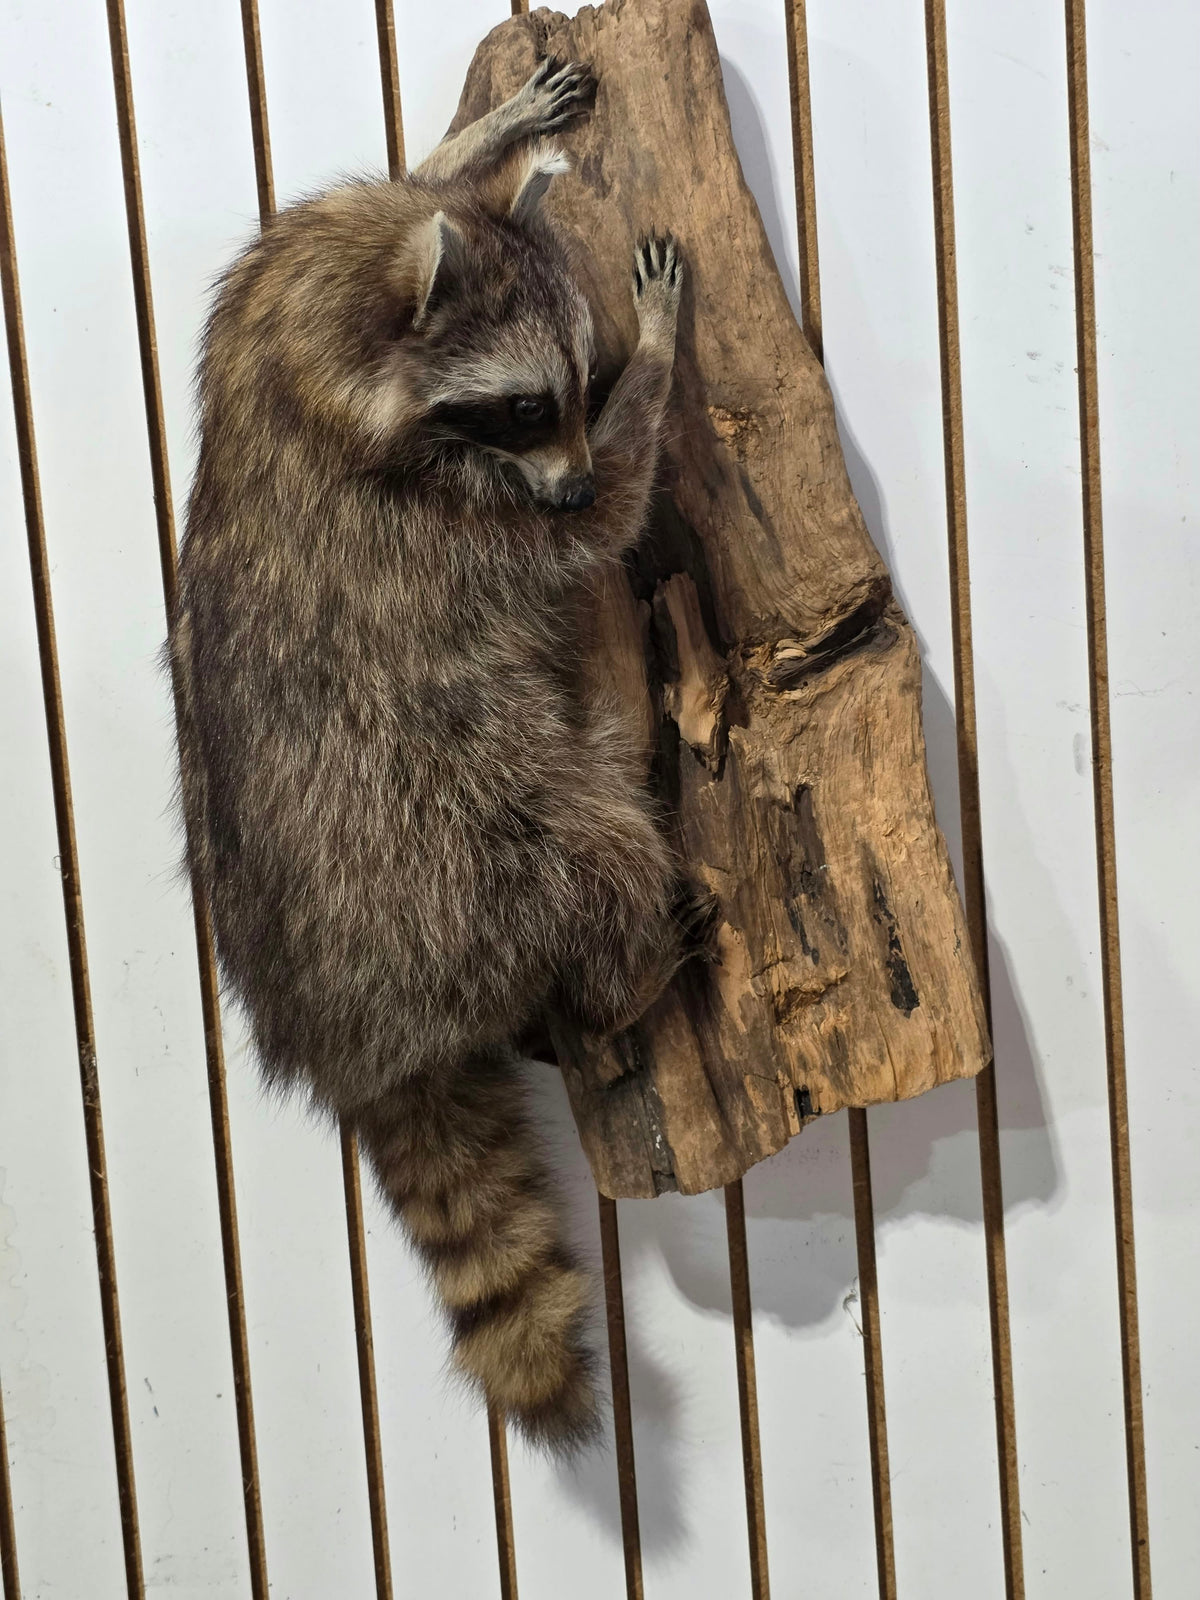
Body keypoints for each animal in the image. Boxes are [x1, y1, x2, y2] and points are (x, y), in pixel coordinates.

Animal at [170, 57, 693, 1452]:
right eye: (523, 404)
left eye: (573, 377)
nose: (566, 480)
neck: (318, 344)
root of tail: (358, 1035)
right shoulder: (449, 517)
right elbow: (598, 532)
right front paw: (659, 365)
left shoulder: (268, 279)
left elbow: (418, 179)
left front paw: (480, 142)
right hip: (473, 842)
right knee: (601, 855)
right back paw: (639, 967)